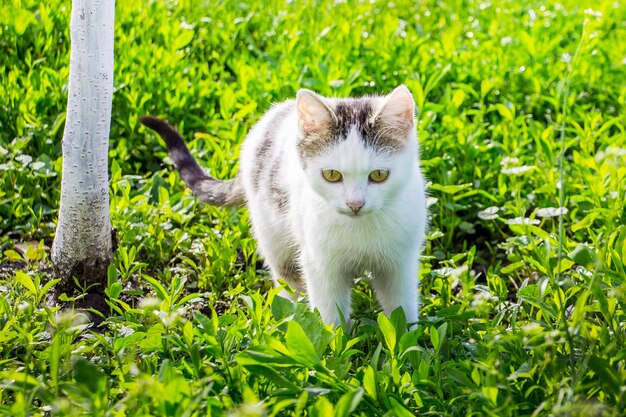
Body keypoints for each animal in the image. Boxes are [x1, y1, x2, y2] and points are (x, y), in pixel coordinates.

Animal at [139, 83, 426, 324]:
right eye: (331, 175)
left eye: (379, 175)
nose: (355, 203)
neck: (361, 228)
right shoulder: (319, 263)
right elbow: (329, 311)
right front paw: (333, 349)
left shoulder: (401, 262)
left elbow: (401, 308)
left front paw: (408, 344)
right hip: (272, 230)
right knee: (288, 276)